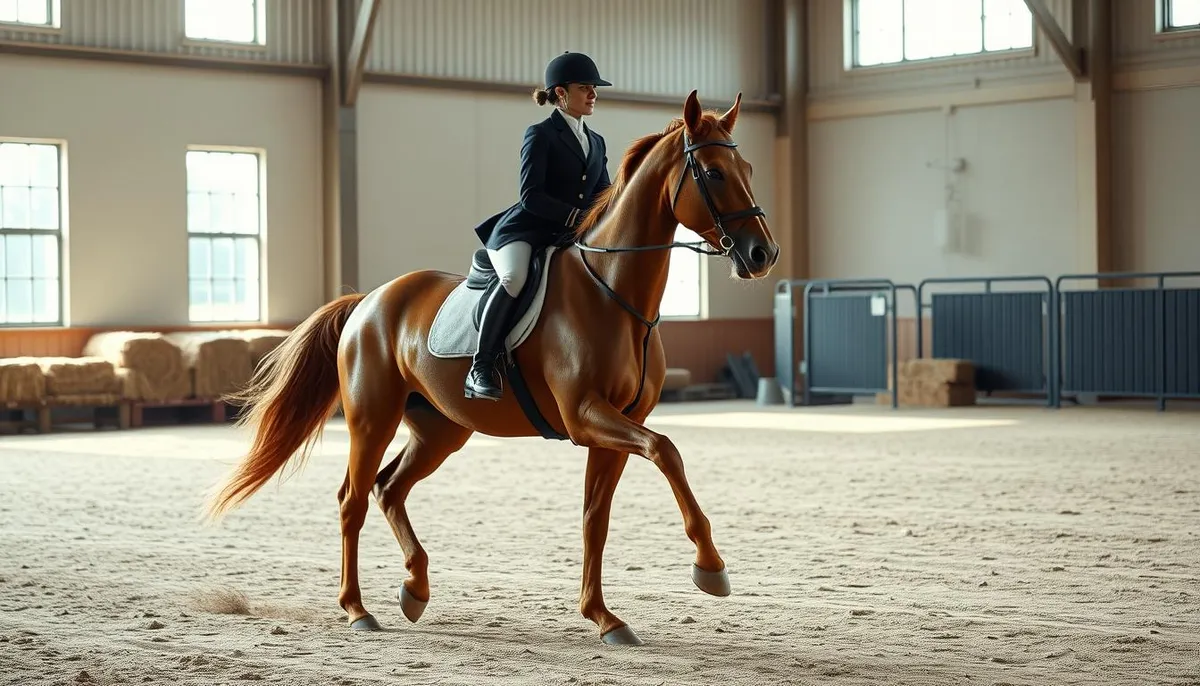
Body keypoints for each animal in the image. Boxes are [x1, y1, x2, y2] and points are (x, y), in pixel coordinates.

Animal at [203, 89, 780, 646]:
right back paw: (357, 610)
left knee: (389, 489)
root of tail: (368, 300)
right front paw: (711, 568)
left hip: (440, 429)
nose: (763, 254)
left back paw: (415, 589)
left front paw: (603, 617)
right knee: (353, 499)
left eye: (750, 168)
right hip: (372, 418)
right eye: (713, 173)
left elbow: (596, 517)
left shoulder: (616, 424)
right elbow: (667, 450)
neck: (614, 292)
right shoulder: (585, 416)